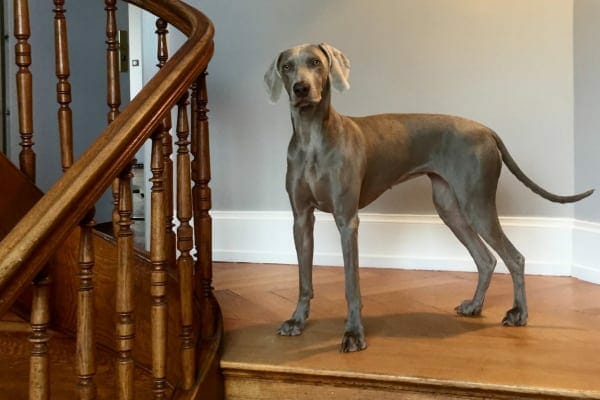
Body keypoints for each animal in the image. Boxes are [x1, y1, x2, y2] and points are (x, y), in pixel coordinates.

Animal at [264, 42, 596, 352]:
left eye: (315, 62)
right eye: (287, 67)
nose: (301, 89)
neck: (312, 139)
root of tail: (486, 129)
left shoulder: (347, 220)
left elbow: (351, 284)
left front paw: (354, 333)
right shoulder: (301, 219)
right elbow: (304, 279)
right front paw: (297, 320)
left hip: (476, 203)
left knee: (514, 257)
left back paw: (519, 314)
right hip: (449, 207)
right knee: (486, 258)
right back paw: (475, 306)